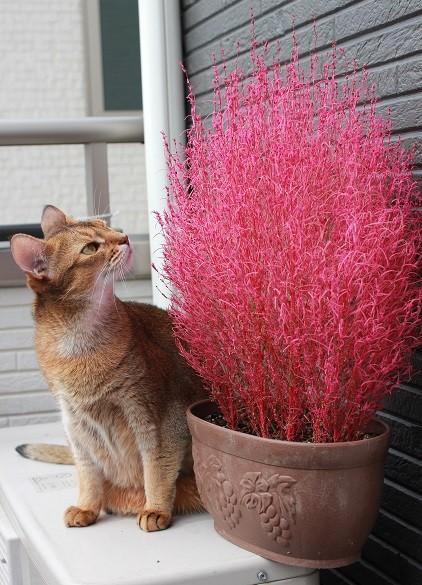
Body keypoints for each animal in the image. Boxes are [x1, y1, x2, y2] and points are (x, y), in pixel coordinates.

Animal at [11, 205, 205, 531]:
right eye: (90, 248)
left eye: (106, 228)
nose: (124, 238)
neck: (77, 341)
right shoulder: (74, 423)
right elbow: (87, 472)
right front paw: (87, 506)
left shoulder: (158, 416)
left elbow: (157, 467)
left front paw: (155, 509)